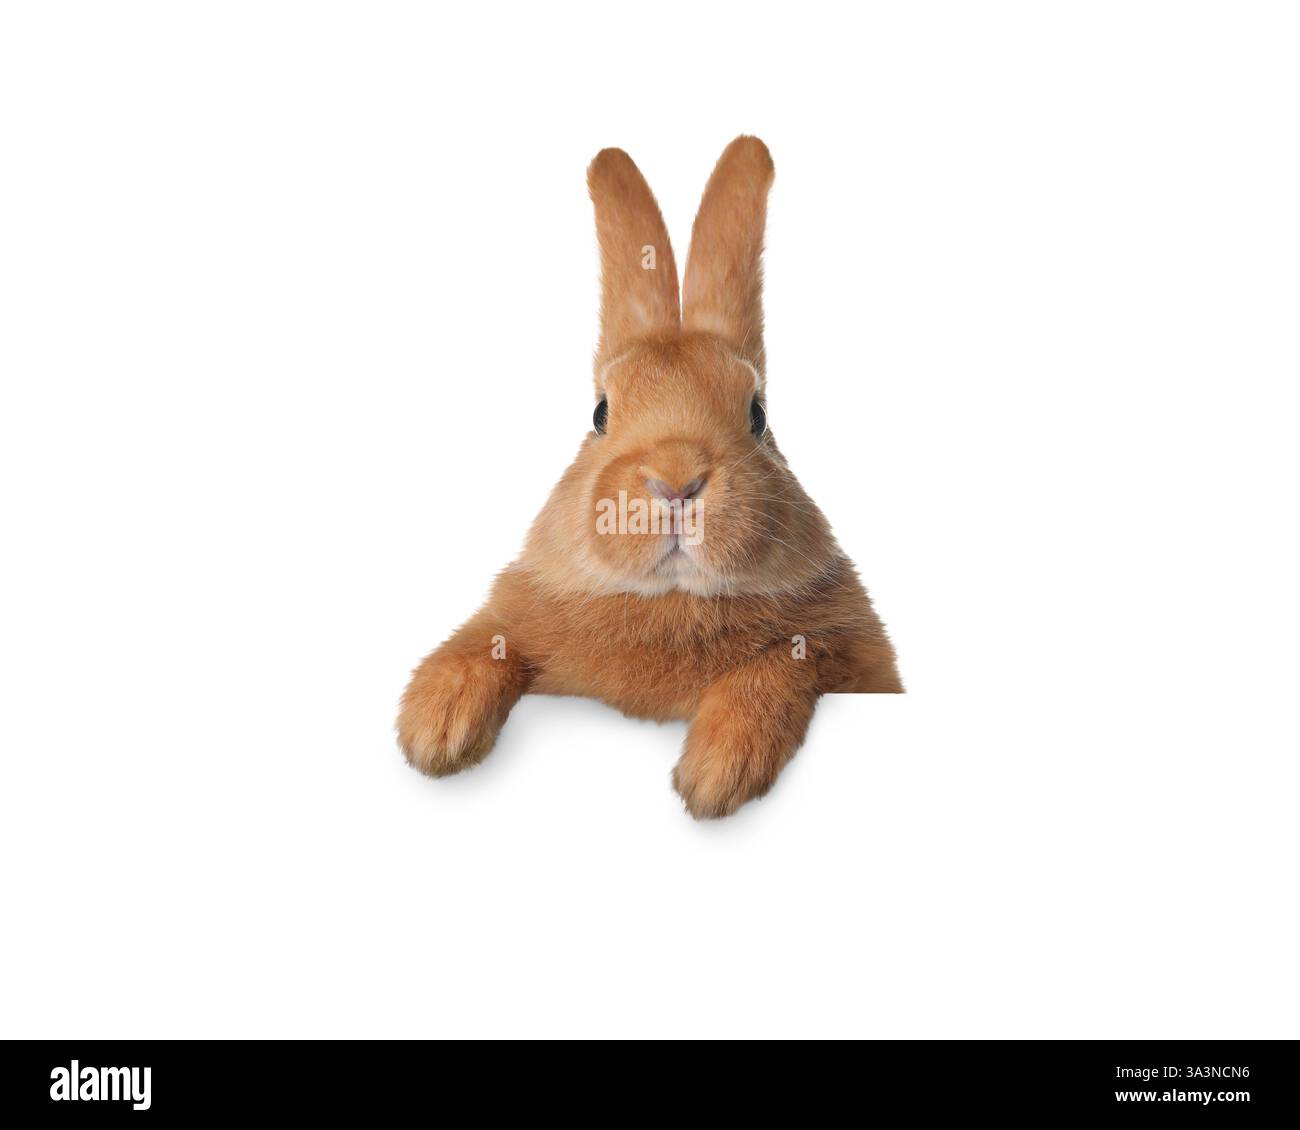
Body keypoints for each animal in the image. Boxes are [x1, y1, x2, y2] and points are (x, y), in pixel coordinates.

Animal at [398, 136, 902, 818]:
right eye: (599, 413)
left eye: (758, 414)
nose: (676, 481)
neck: (672, 602)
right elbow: (483, 640)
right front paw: (435, 727)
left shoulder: (848, 653)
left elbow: (784, 662)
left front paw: (716, 773)